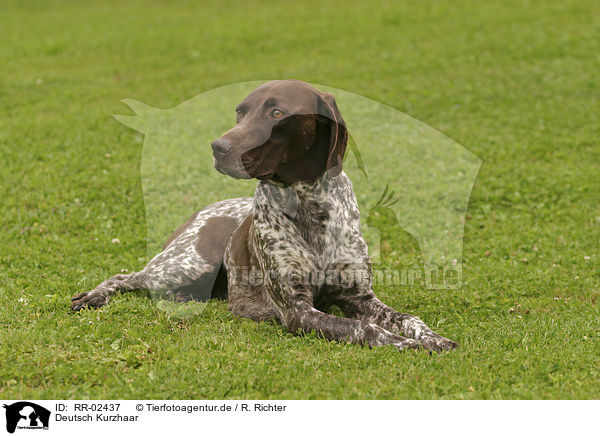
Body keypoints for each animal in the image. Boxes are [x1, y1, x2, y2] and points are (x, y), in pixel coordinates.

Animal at [71, 79, 454, 350]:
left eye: (277, 114)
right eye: (240, 112)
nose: (218, 148)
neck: (307, 202)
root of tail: (200, 211)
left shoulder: (359, 297)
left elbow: (409, 318)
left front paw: (431, 337)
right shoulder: (298, 311)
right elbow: (366, 329)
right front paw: (408, 345)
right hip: (187, 264)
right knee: (126, 276)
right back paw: (94, 296)